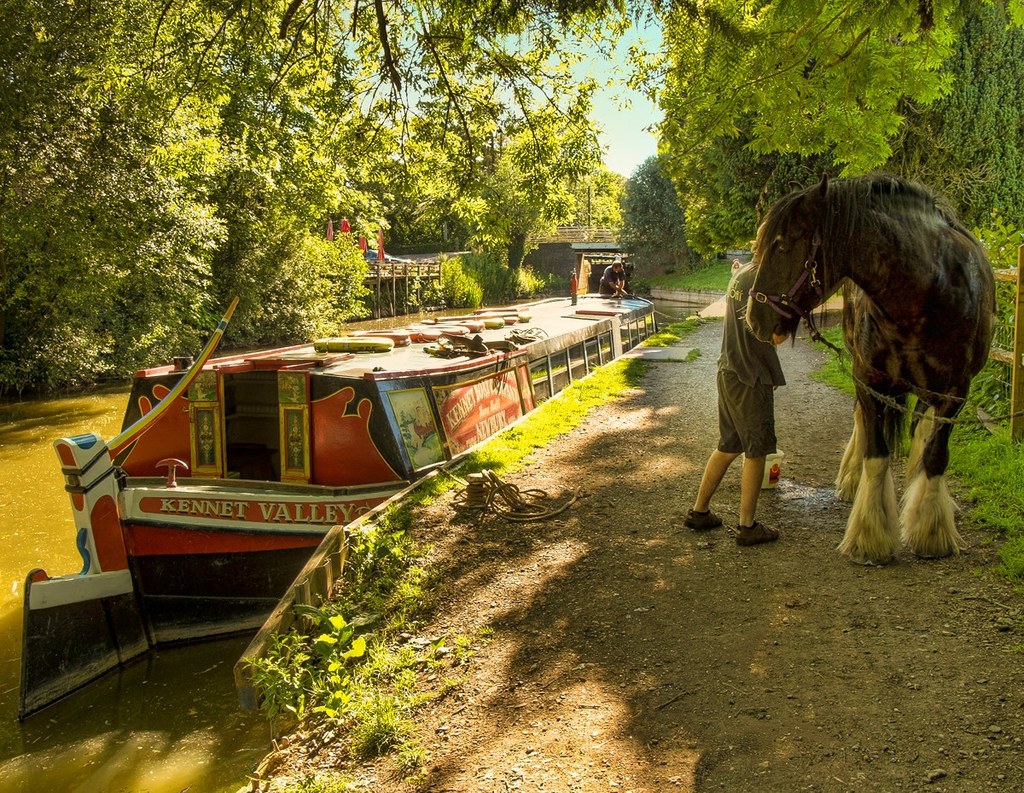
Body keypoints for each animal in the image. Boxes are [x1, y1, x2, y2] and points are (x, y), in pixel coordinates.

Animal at [745, 174, 995, 564]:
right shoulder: (868, 380)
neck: (924, 294)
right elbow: (876, 452)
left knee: (921, 431)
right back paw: (851, 479)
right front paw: (871, 537)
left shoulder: (955, 393)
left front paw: (930, 531)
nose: (754, 318)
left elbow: (935, 455)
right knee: (862, 423)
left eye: (783, 245)